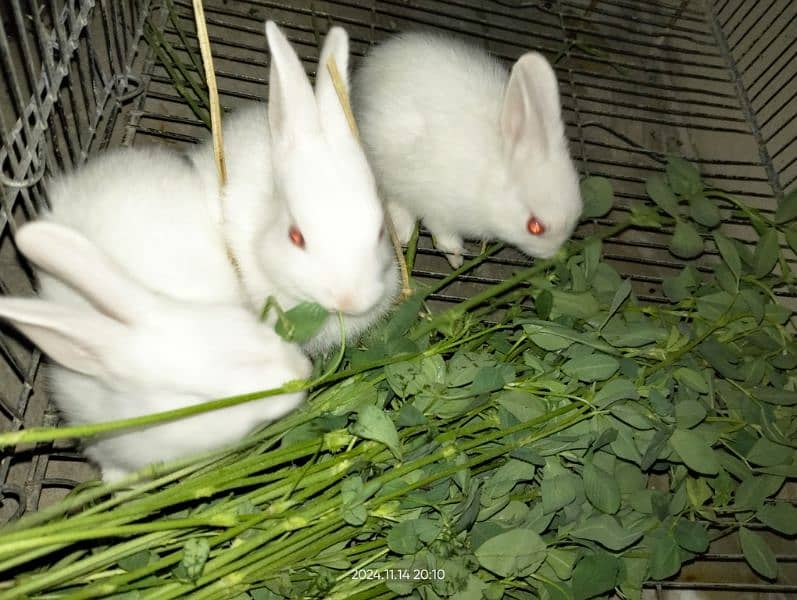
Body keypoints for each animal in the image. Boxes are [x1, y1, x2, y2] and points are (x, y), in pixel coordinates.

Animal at [352, 31, 580, 268]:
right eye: (535, 227)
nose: (551, 254)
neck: (488, 182)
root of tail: (370, 65)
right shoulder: (438, 206)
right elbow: (443, 234)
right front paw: (456, 258)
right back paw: (405, 233)